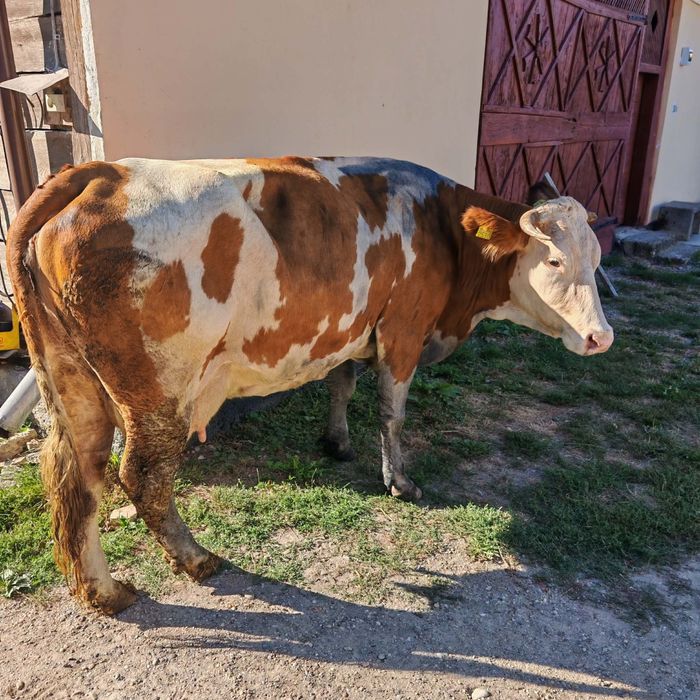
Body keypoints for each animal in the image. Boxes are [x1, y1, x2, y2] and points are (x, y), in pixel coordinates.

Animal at [7, 156, 613, 614]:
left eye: (597, 256)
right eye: (553, 260)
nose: (600, 337)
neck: (443, 227)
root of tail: (101, 171)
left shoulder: (350, 326)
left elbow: (340, 386)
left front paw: (336, 442)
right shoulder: (403, 330)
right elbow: (392, 413)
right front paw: (400, 482)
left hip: (71, 378)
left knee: (76, 474)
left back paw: (104, 592)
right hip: (157, 390)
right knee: (143, 476)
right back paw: (196, 559)